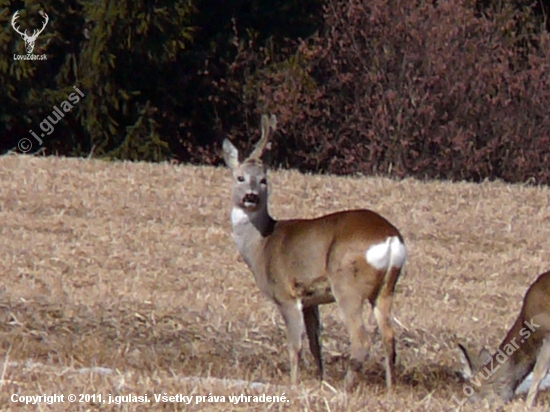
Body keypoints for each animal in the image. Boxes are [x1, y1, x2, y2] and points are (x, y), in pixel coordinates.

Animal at [224, 113, 410, 390]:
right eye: (240, 178)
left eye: (264, 180)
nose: (250, 196)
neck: (262, 246)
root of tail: (390, 237)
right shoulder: (311, 300)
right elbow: (315, 344)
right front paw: (320, 380)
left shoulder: (286, 294)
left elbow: (295, 346)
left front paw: (294, 384)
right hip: (387, 287)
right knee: (389, 337)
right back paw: (389, 389)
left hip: (347, 283)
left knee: (362, 338)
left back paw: (344, 388)